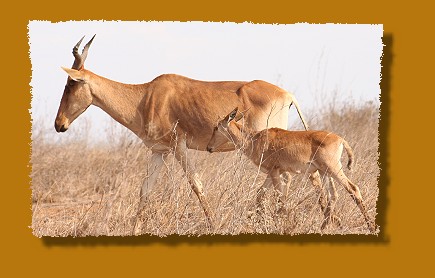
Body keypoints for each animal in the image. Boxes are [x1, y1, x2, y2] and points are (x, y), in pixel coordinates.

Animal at [207, 107, 374, 232]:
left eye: (216, 127)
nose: (209, 148)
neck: (255, 138)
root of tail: (340, 139)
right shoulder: (276, 173)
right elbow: (261, 194)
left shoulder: (275, 172)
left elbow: (278, 197)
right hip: (324, 172)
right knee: (333, 195)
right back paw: (323, 227)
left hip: (334, 169)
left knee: (353, 189)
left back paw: (370, 226)